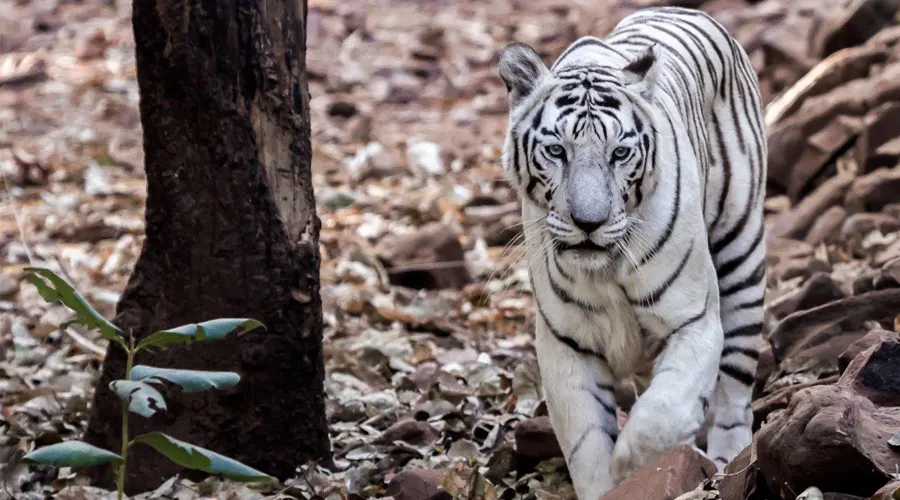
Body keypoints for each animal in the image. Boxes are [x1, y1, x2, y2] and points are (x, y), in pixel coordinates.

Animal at [500, 5, 768, 498]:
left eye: (620, 152)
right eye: (556, 150)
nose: (589, 222)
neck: (604, 271)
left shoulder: (694, 321)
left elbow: (659, 418)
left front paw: (633, 468)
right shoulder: (566, 342)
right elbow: (586, 443)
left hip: (742, 255)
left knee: (735, 393)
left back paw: (725, 463)